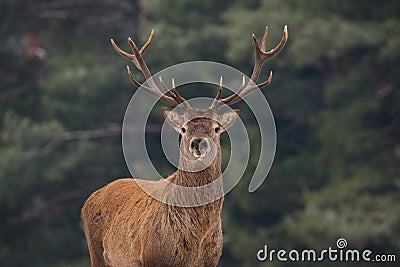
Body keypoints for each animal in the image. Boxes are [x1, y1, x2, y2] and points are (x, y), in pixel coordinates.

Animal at [82, 25, 288, 267]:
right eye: (183, 129)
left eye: (216, 128)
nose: (198, 143)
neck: (195, 242)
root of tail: (88, 201)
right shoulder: (152, 258)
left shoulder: (212, 260)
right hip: (97, 254)